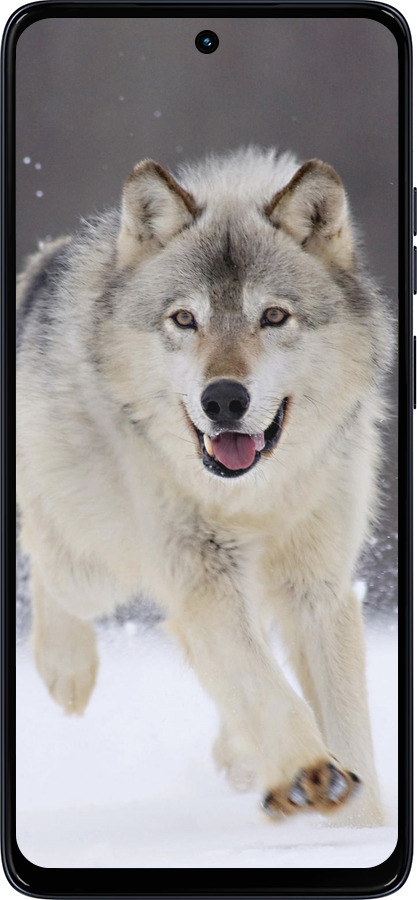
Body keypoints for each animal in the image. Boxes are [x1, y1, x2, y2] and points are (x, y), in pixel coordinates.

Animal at [17, 147, 392, 826]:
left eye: (273, 316)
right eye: (185, 319)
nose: (223, 399)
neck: (254, 497)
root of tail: (44, 262)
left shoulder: (317, 586)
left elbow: (346, 722)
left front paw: (359, 826)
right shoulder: (202, 574)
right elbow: (266, 687)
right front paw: (308, 773)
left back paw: (240, 757)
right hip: (96, 565)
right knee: (45, 554)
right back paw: (67, 670)